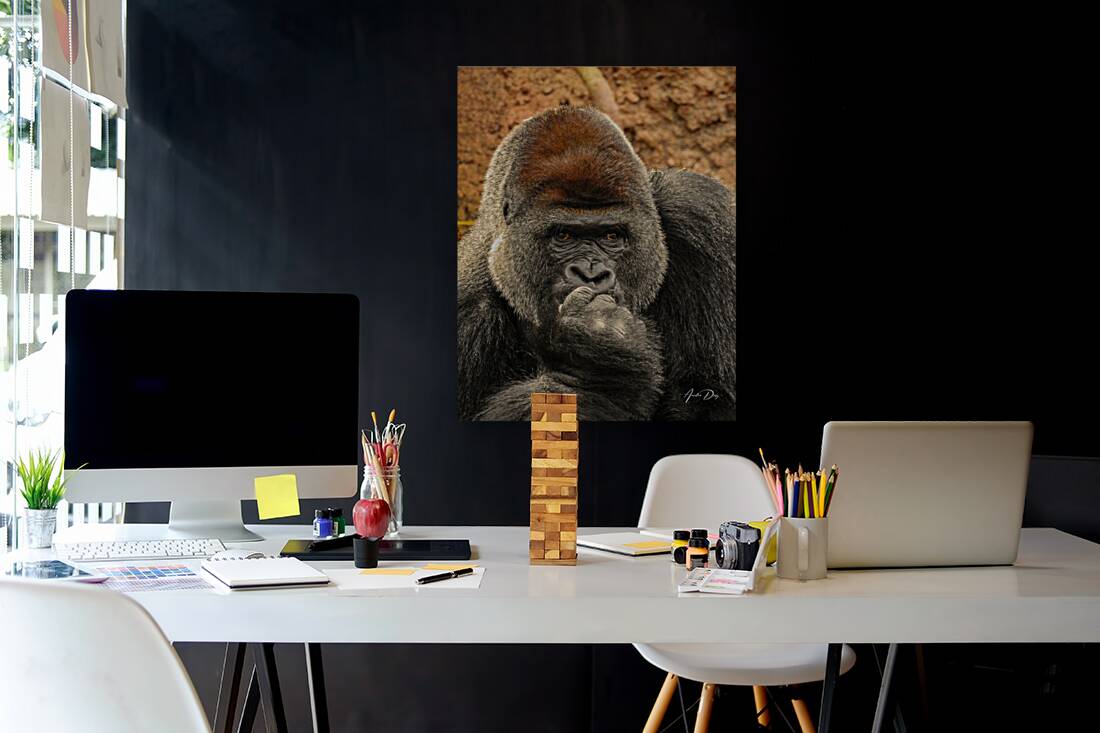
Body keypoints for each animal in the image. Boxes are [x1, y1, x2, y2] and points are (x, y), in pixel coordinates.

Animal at [458, 106, 735, 421]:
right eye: (563, 235)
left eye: (611, 235)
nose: (591, 274)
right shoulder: (467, 307)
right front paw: (595, 372)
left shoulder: (702, 214)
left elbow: (712, 399)